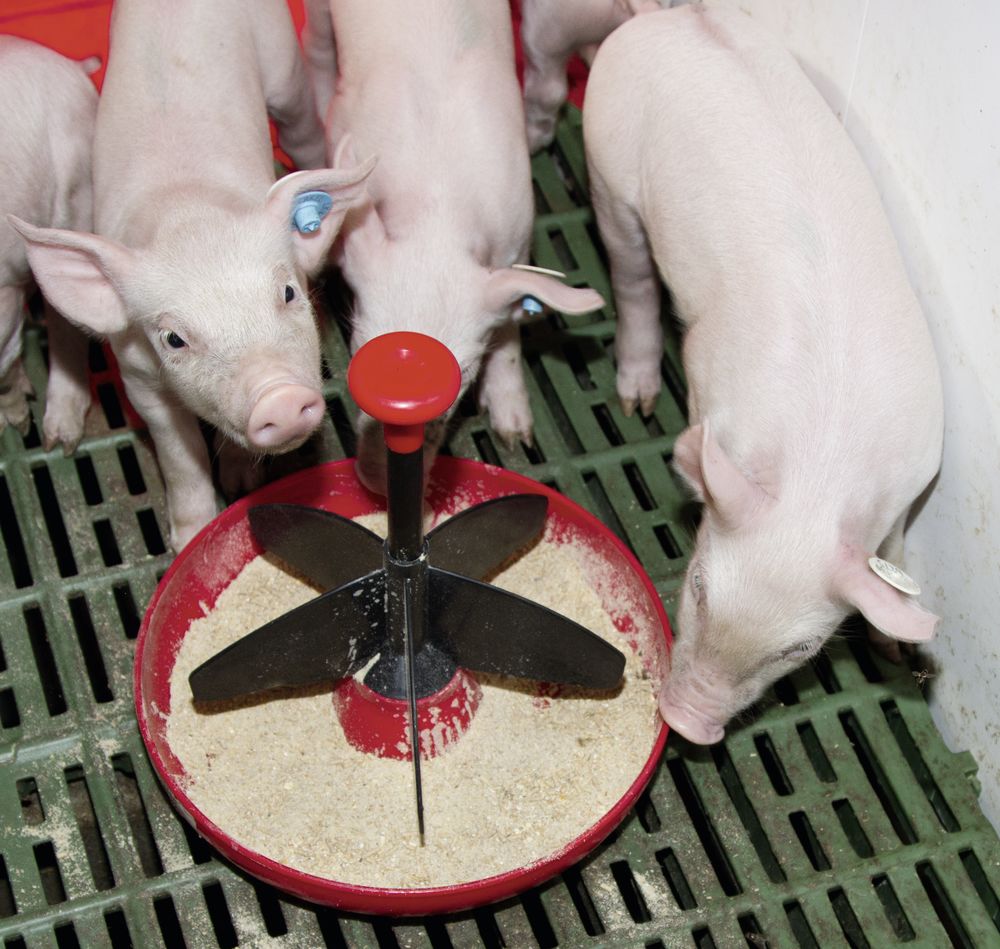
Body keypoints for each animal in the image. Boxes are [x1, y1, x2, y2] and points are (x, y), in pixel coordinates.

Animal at [9, 0, 375, 552]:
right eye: (174, 339)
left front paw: (242, 482)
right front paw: (188, 537)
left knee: (302, 125)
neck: (187, 210)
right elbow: (178, 455)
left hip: (282, 64)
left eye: (289, 292)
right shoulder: (137, 376)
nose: (281, 396)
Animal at [316, 0, 605, 493]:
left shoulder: (516, 232)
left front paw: (516, 433)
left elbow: (510, 325)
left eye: (464, 375)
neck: (439, 211)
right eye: (356, 351)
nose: (376, 483)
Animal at [583, 6, 944, 744]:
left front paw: (896, 649)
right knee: (632, 278)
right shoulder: (706, 378)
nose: (689, 723)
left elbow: (892, 547)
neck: (822, 471)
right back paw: (636, 399)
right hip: (609, 169)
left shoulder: (914, 475)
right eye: (697, 585)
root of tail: (674, 17)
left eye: (799, 648)